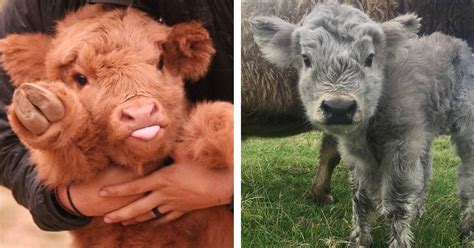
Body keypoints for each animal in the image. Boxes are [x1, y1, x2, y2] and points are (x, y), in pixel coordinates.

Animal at [252, 2, 474, 248]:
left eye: (369, 58)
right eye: (306, 59)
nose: (339, 107)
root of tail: (455, 41)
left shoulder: (401, 145)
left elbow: (394, 203)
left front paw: (399, 242)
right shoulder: (359, 153)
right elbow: (361, 199)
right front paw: (359, 240)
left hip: (465, 124)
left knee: (467, 176)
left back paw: (466, 229)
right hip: (423, 131)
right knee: (426, 168)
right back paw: (418, 212)